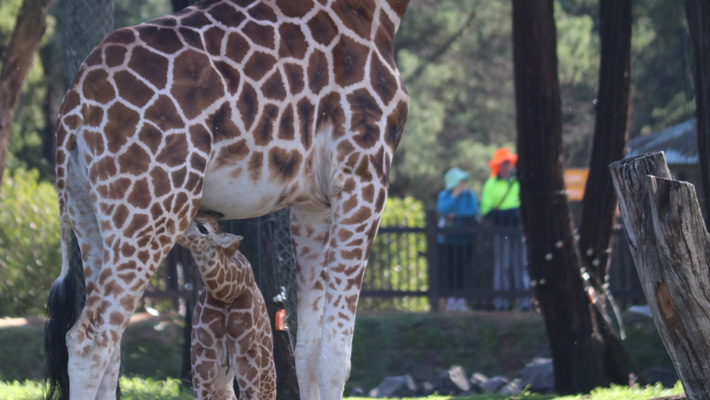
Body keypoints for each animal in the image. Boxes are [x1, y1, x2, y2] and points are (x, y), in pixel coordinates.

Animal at [178, 212, 278, 400]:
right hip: (223, 385)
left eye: (202, 228)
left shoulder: (247, 355)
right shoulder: (203, 354)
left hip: (267, 376)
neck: (227, 295)